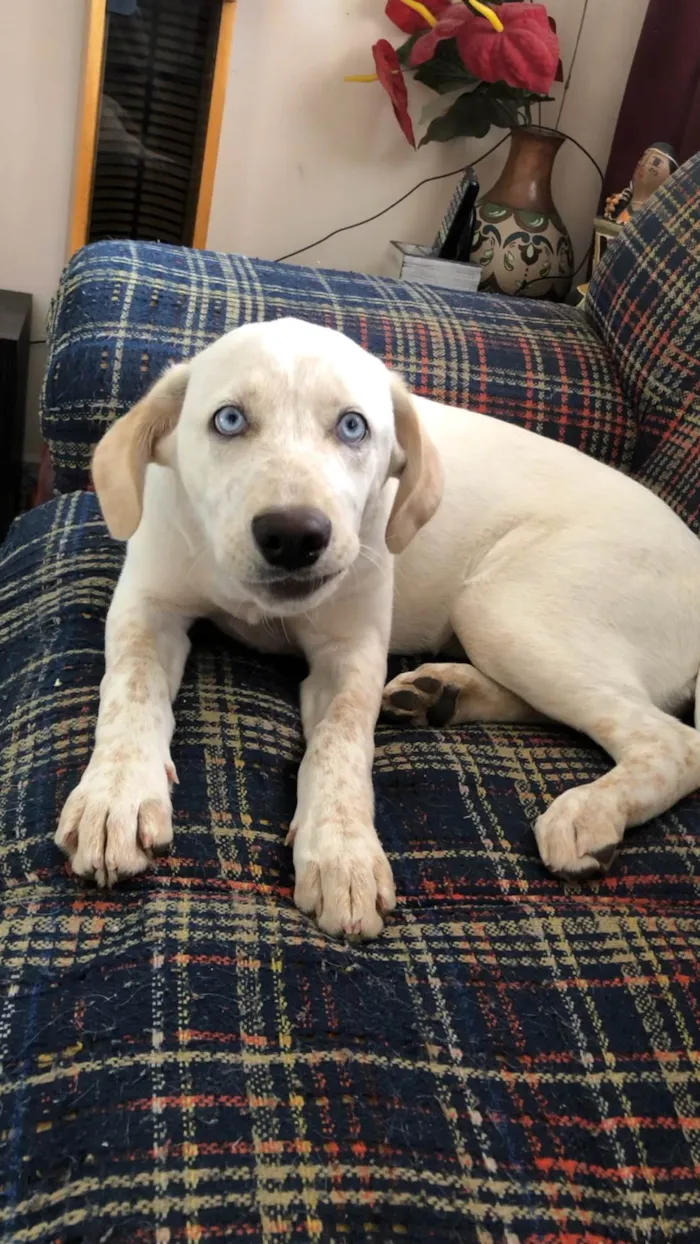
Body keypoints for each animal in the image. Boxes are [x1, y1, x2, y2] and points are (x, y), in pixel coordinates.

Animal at [57, 315, 700, 935]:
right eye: (230, 420)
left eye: (352, 427)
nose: (294, 535)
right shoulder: (146, 607)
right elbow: (130, 690)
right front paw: (114, 796)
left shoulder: (354, 650)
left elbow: (341, 742)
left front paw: (342, 852)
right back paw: (442, 694)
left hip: (503, 604)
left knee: (673, 740)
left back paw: (590, 810)